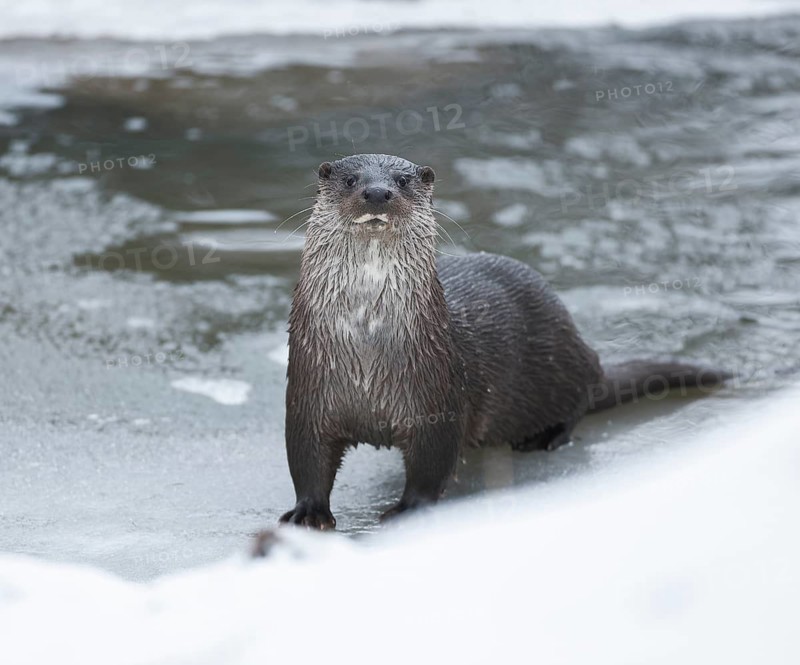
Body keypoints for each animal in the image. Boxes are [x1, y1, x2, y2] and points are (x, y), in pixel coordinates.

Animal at [279, 153, 728, 529]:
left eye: (403, 181)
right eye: (351, 179)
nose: (377, 192)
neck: (367, 342)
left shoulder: (438, 402)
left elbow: (431, 464)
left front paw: (409, 509)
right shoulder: (308, 395)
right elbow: (307, 460)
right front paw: (307, 513)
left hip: (562, 363)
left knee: (579, 399)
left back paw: (544, 437)